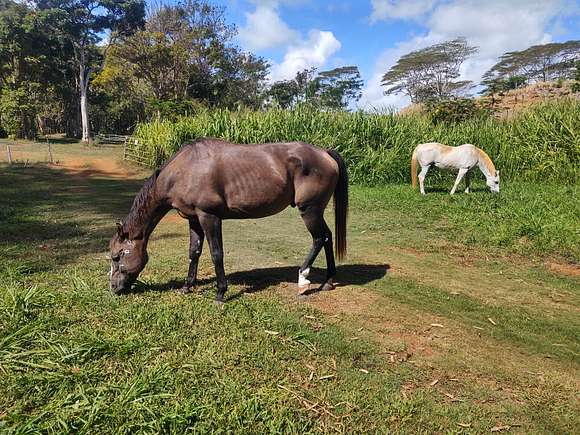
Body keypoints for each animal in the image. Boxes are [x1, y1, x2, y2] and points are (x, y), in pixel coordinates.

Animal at [107, 139, 348, 304]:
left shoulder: (209, 217)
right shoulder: (194, 219)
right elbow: (194, 252)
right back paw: (327, 281)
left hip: (309, 210)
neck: (184, 170)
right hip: (316, 212)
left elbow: (216, 254)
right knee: (327, 237)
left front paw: (220, 292)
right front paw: (187, 286)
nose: (113, 287)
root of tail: (325, 153)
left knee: (319, 238)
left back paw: (303, 280)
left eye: (117, 256)